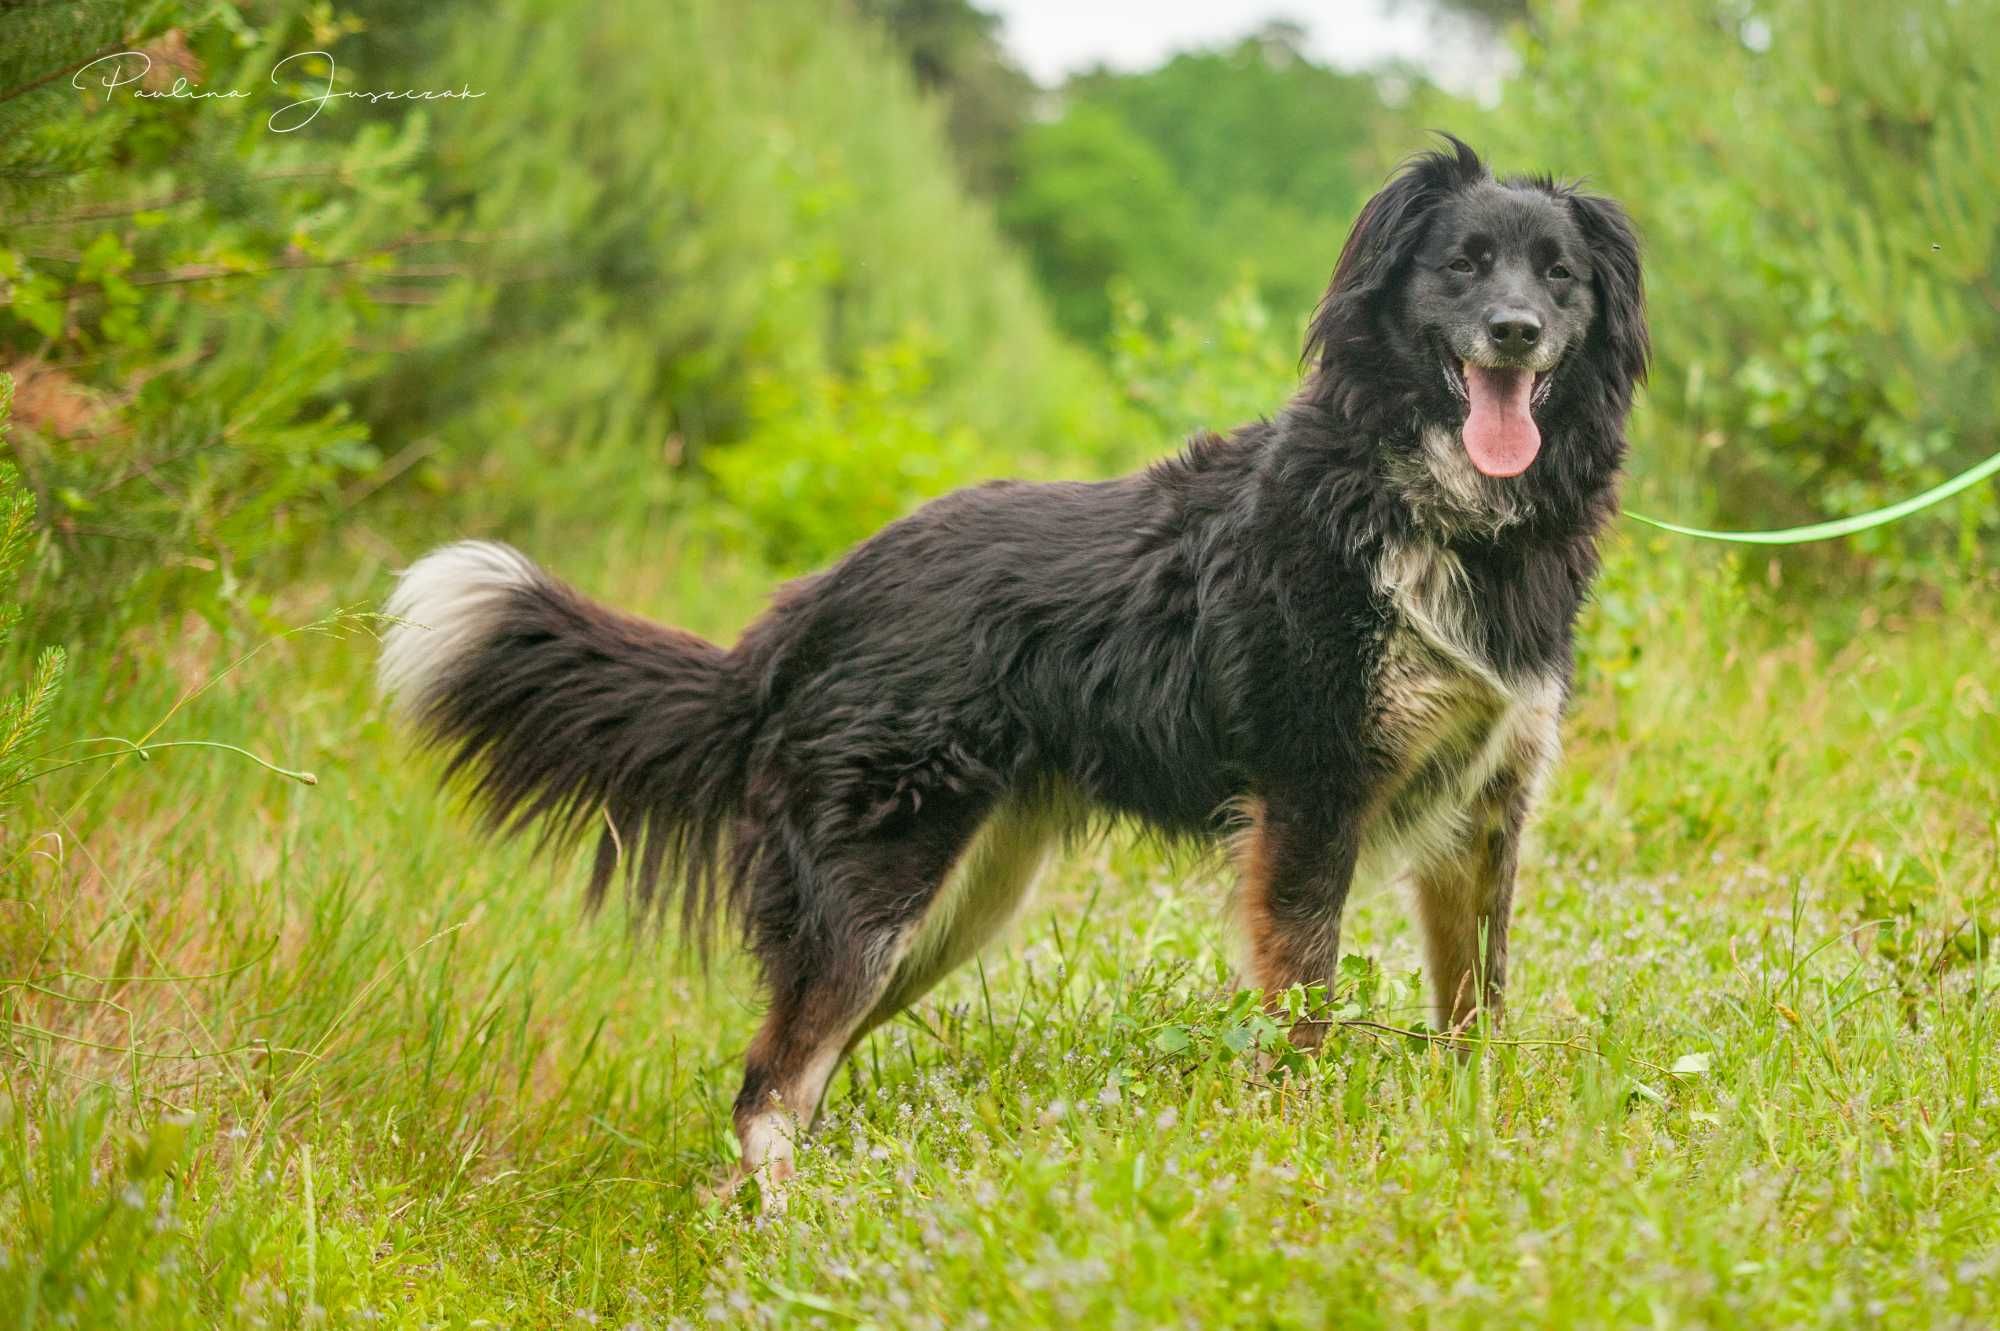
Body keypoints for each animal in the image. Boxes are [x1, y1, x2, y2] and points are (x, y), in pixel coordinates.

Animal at [382, 136, 1648, 1191]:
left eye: (1558, 278)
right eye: (1461, 266)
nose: (1513, 331)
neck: (1437, 508)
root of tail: (805, 610)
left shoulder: (1484, 801)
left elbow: (1476, 1005)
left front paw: (1476, 1136)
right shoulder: (1309, 792)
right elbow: (1301, 1007)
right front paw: (1303, 1144)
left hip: (951, 902)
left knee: (796, 1066)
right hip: (876, 883)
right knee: (768, 1086)